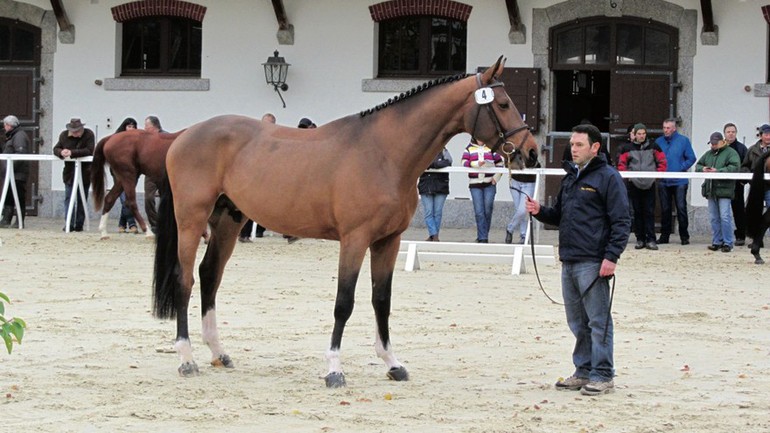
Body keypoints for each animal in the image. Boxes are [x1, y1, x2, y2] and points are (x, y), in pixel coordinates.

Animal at [152, 56, 540, 384]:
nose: (532, 152)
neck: (384, 152)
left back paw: (218, 353)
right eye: (503, 105)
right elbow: (345, 302)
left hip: (229, 221)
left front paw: (392, 364)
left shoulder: (388, 241)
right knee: (185, 278)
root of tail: (183, 135)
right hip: (191, 220)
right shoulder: (355, 240)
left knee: (209, 276)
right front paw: (334, 369)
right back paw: (187, 358)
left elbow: (381, 300)